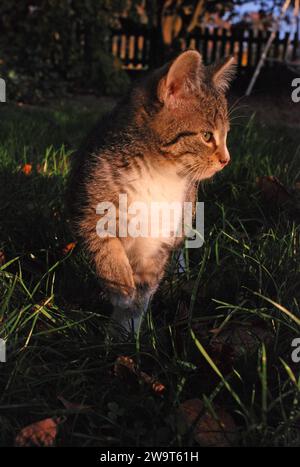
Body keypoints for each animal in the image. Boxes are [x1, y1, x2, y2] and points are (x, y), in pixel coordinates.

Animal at [69, 50, 236, 330]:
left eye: (226, 135)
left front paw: (126, 329)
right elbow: (101, 242)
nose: (226, 160)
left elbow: (146, 285)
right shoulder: (89, 203)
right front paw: (120, 284)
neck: (157, 173)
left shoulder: (158, 238)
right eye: (206, 136)